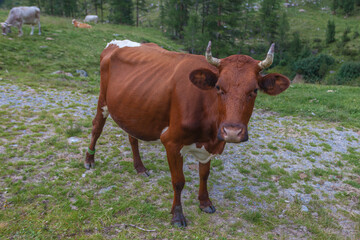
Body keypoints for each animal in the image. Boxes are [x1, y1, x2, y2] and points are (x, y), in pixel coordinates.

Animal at [86, 39, 292, 227]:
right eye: (219, 87)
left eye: (254, 90)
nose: (232, 132)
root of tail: (116, 43)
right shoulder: (171, 142)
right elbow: (178, 181)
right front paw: (177, 215)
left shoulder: (209, 146)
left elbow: (204, 174)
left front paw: (205, 202)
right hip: (103, 100)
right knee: (97, 127)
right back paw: (89, 160)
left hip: (133, 110)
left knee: (132, 137)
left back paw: (140, 167)